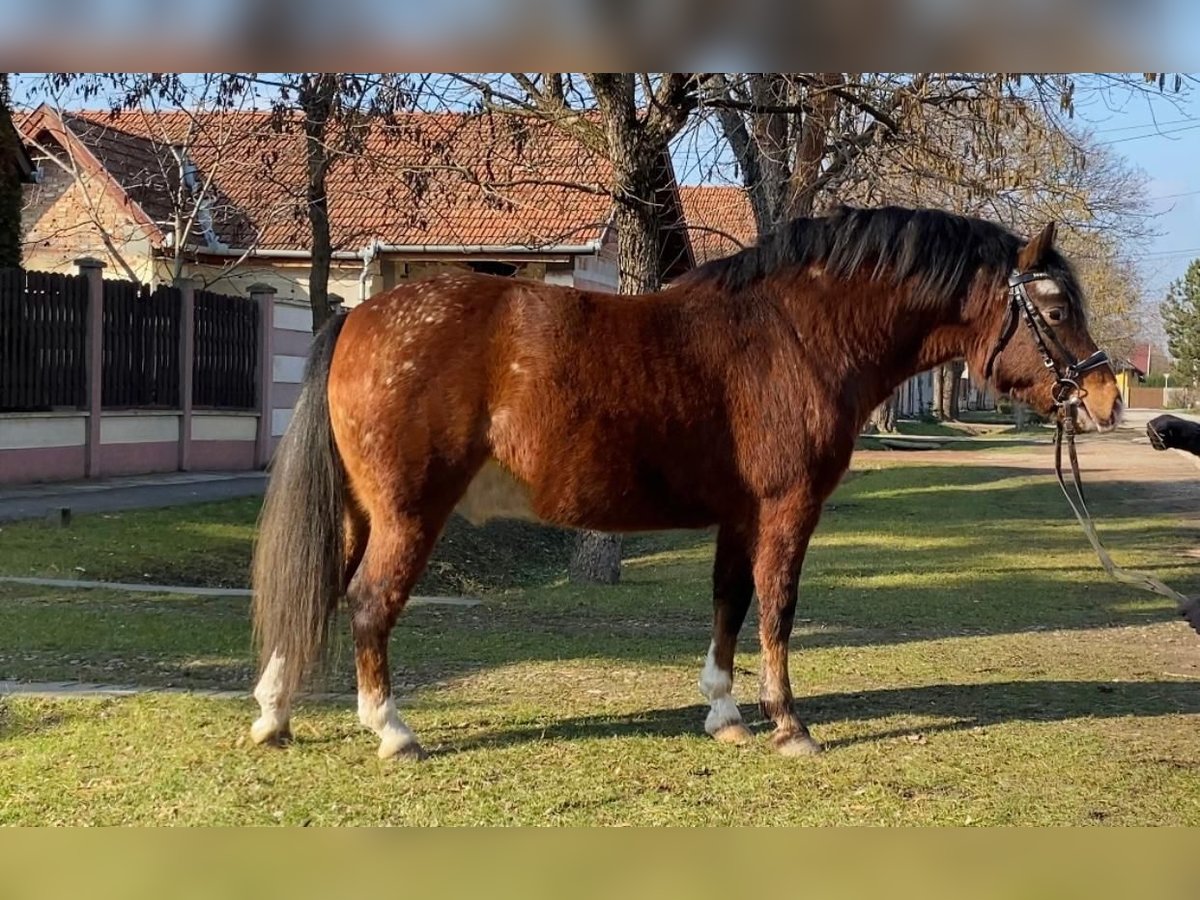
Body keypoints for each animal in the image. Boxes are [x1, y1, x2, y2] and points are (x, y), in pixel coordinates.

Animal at [248, 206, 1118, 763]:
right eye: (1053, 308)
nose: (1105, 397)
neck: (795, 335)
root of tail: (359, 317)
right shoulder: (788, 511)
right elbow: (779, 611)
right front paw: (789, 726)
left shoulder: (740, 516)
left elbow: (730, 603)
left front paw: (726, 713)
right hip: (408, 513)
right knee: (368, 603)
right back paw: (392, 731)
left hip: (361, 511)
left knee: (318, 590)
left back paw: (274, 716)